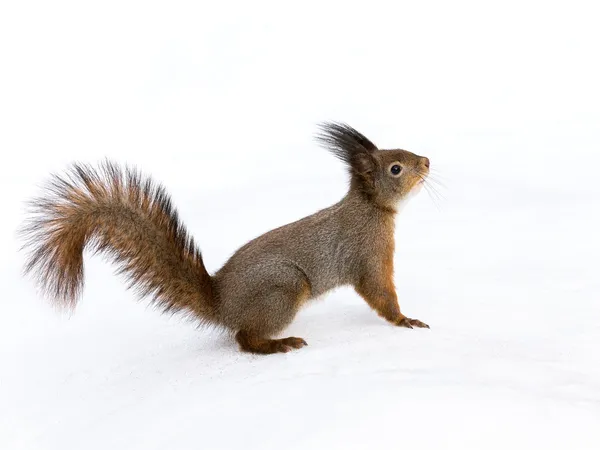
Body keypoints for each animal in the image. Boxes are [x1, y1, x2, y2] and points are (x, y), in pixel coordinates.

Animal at [19, 123, 432, 356]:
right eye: (396, 168)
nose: (427, 161)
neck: (370, 208)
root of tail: (221, 303)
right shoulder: (368, 252)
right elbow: (379, 291)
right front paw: (405, 319)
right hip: (283, 291)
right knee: (244, 338)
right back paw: (278, 345)